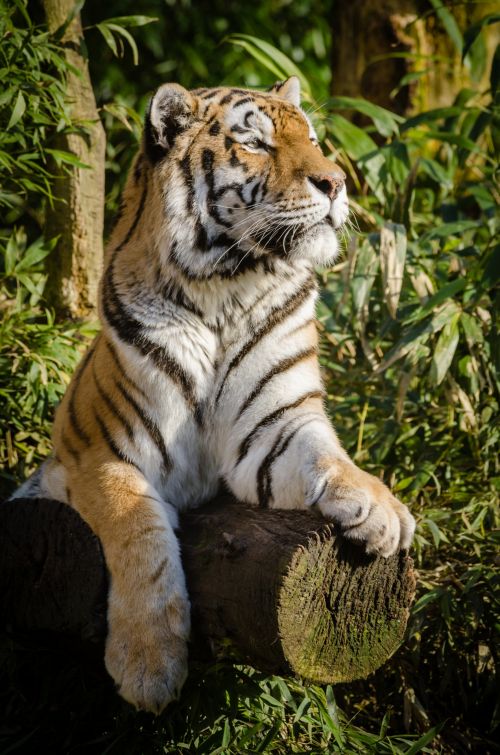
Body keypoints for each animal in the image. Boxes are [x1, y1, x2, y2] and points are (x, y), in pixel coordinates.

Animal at [12, 77, 414, 716]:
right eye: (255, 143)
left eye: (313, 139)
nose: (335, 182)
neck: (226, 289)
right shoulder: (100, 455)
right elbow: (139, 534)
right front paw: (147, 664)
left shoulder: (274, 427)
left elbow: (327, 457)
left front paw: (383, 510)